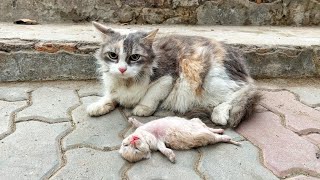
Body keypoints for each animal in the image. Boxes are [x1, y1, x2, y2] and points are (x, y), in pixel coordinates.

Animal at [88, 21, 260, 127]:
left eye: (134, 57)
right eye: (113, 55)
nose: (122, 69)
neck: (128, 82)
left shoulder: (168, 77)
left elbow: (150, 95)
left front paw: (142, 108)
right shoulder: (114, 86)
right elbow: (111, 95)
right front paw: (99, 105)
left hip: (209, 79)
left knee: (237, 94)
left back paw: (219, 115)